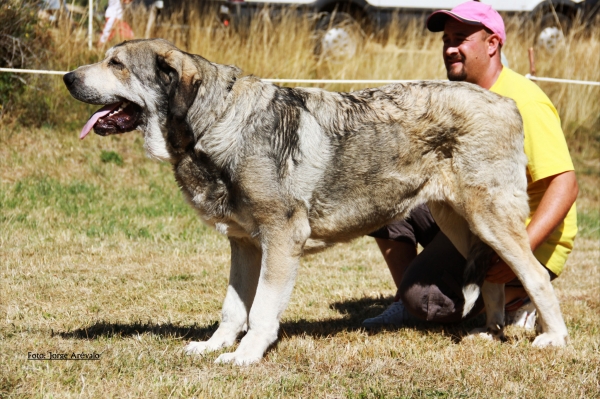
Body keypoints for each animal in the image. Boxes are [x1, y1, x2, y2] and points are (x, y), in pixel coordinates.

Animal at [64, 39, 568, 366]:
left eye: (116, 64)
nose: (68, 76)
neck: (215, 124)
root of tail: (505, 103)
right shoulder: (244, 245)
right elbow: (233, 308)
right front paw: (214, 346)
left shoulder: (281, 240)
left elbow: (261, 311)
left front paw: (246, 356)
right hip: (463, 224)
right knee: (493, 278)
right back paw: (488, 331)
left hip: (490, 219)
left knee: (535, 277)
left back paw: (553, 338)